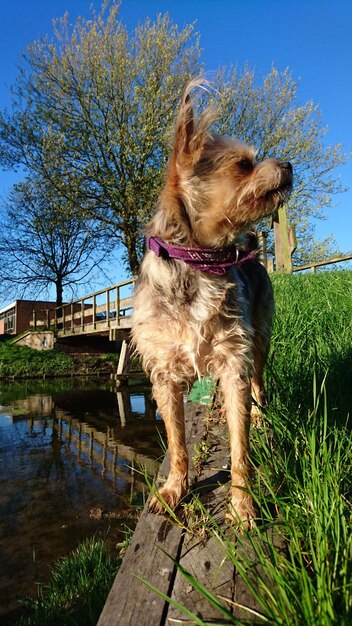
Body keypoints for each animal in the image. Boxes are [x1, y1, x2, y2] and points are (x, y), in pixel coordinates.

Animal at [131, 79, 292, 528]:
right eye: (243, 165)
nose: (289, 163)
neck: (201, 260)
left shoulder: (235, 359)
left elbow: (240, 449)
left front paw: (243, 505)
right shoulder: (164, 375)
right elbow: (177, 442)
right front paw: (174, 489)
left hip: (260, 341)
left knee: (258, 383)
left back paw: (259, 414)